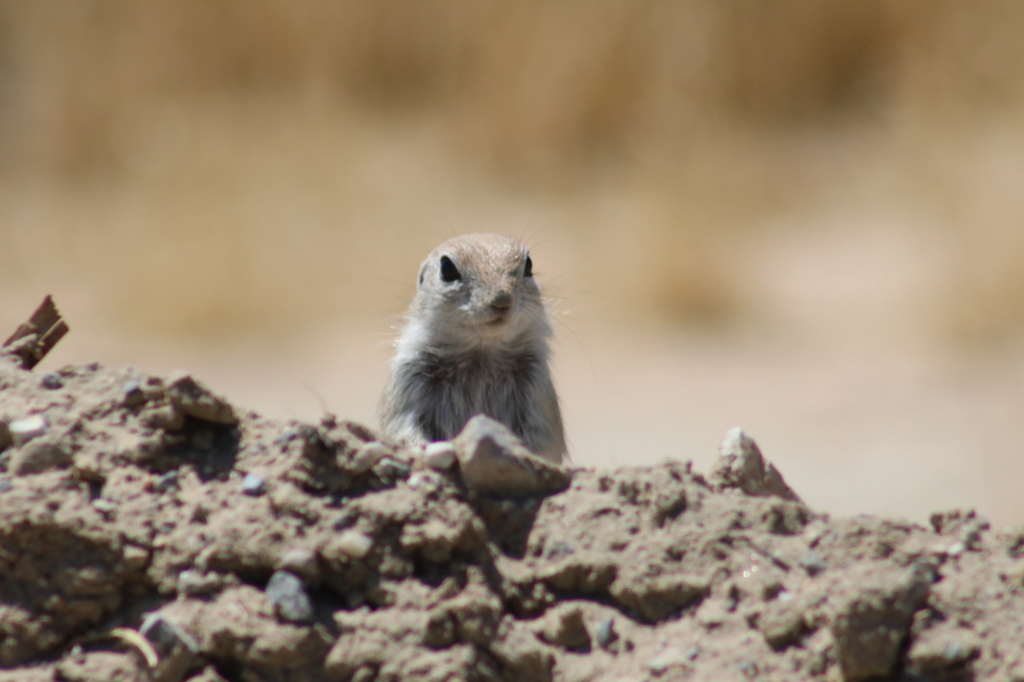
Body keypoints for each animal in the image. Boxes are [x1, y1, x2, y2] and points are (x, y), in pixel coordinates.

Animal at [380, 233, 569, 462]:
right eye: (447, 268)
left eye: (529, 265)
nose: (502, 299)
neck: (480, 354)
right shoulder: (409, 381)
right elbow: (404, 427)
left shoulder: (537, 389)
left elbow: (540, 437)